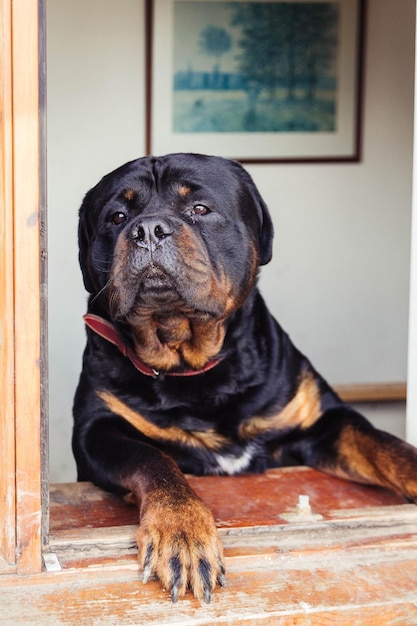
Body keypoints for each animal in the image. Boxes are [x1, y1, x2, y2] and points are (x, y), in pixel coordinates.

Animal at [74, 151, 416, 600]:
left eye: (200, 209)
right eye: (116, 217)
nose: (148, 229)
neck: (193, 365)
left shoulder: (323, 421)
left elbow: (384, 444)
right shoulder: (96, 430)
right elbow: (152, 458)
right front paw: (182, 528)